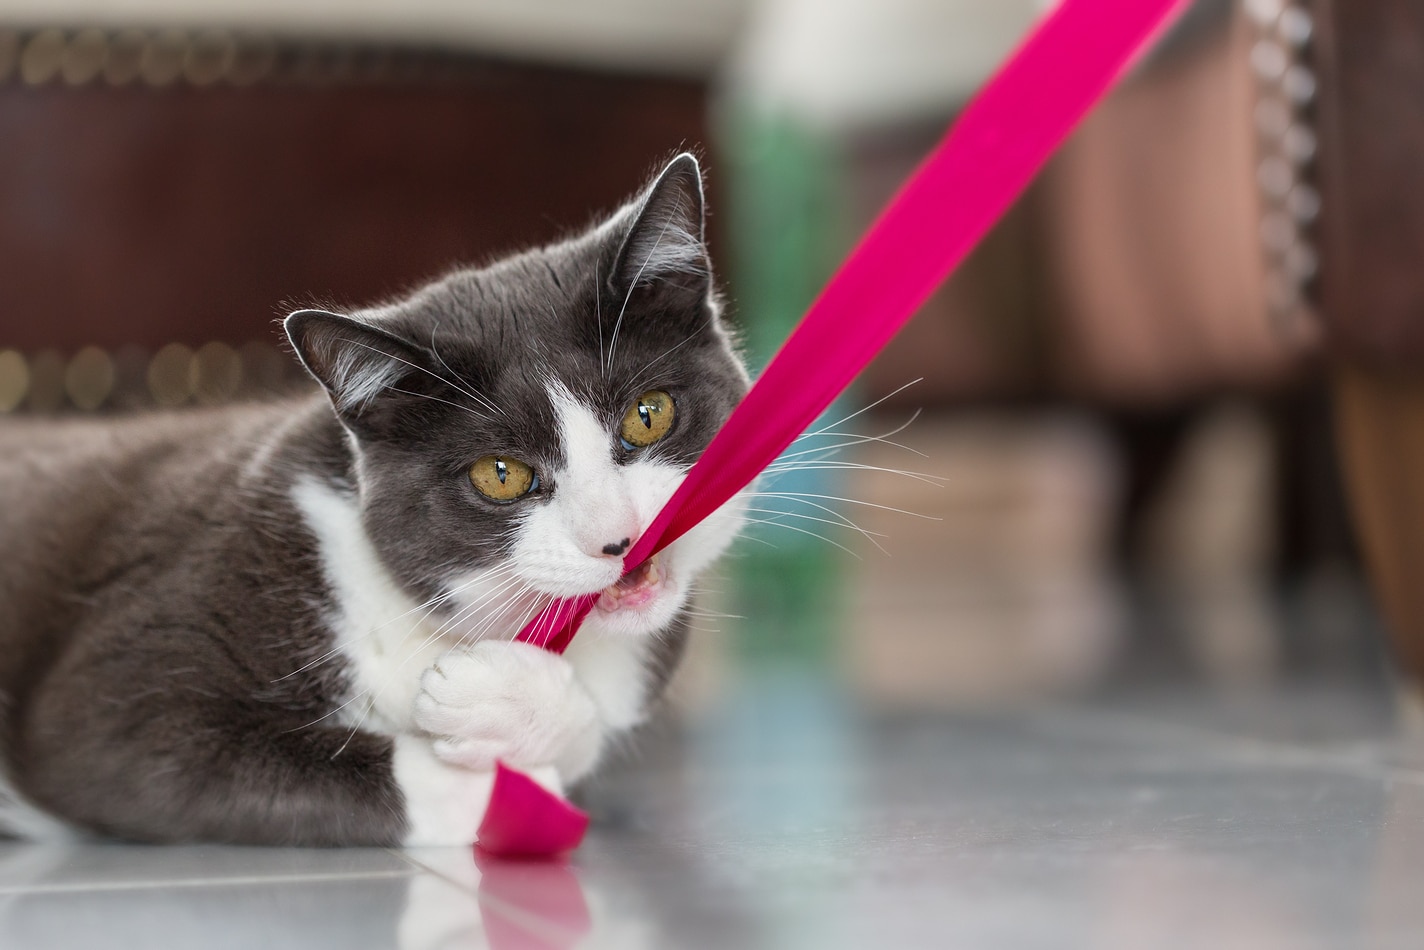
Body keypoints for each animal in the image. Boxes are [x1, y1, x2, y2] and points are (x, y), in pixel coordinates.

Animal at [0, 155, 751, 848]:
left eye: (648, 415)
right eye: (500, 475)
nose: (619, 536)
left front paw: (510, 702)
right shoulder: (130, 668)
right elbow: (119, 746)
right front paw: (500, 771)